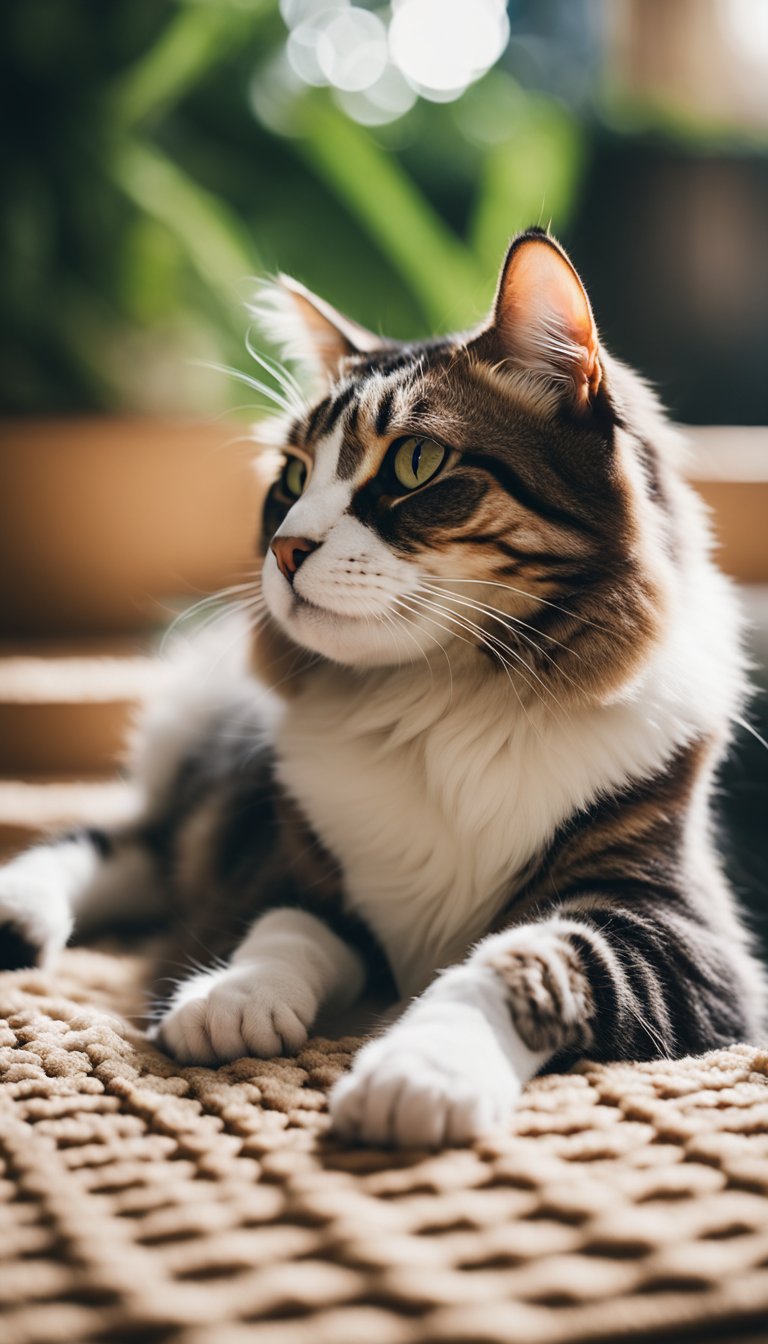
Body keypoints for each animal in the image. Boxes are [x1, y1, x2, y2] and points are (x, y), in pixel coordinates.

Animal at [0, 228, 763, 1145]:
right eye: (291, 480)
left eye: (416, 461)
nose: (284, 548)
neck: (442, 703)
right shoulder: (293, 865)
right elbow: (287, 928)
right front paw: (232, 997)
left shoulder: (681, 934)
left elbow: (520, 961)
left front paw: (421, 1071)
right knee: (134, 839)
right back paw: (21, 910)